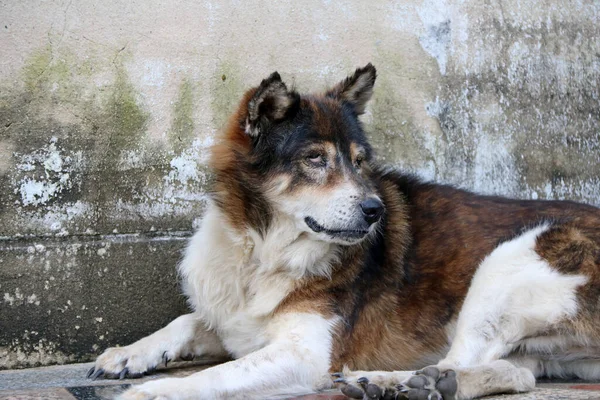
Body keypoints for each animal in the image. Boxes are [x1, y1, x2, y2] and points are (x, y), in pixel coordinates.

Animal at [88, 64, 600, 398]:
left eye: (358, 161)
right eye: (315, 159)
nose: (376, 211)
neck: (261, 252)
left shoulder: (306, 354)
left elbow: (213, 375)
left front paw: (152, 391)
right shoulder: (236, 321)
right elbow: (187, 321)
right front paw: (128, 354)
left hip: (512, 262)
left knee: (459, 360)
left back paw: (387, 382)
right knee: (518, 373)